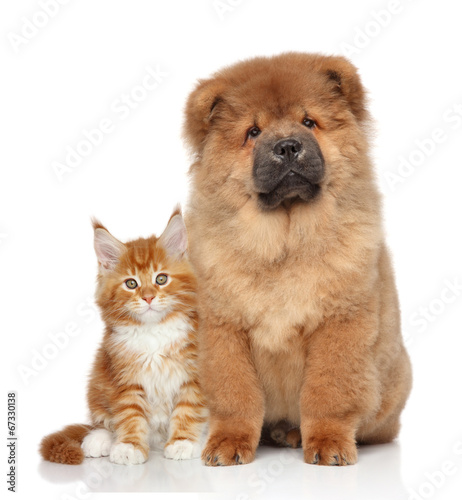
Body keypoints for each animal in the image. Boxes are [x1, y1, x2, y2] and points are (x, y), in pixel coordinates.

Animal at [40, 210, 207, 464]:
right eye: (131, 283)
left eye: (161, 279)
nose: (148, 297)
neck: (154, 333)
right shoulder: (124, 378)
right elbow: (130, 415)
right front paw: (129, 446)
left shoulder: (193, 376)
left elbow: (188, 409)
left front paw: (183, 442)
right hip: (98, 381)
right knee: (101, 422)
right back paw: (98, 440)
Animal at [184, 52, 412, 466]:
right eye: (253, 132)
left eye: (309, 122)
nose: (288, 146)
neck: (284, 240)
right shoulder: (223, 327)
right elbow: (235, 394)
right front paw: (229, 444)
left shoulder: (340, 322)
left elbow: (328, 392)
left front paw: (329, 444)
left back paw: (292, 433)